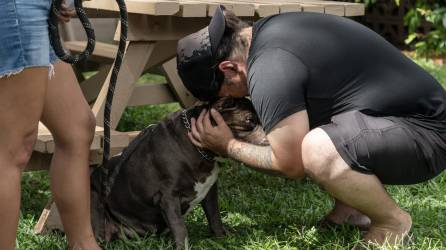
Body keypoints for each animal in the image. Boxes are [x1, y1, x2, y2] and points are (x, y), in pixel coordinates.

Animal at [89, 96, 266, 249]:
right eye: (250, 120)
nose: (268, 140)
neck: (198, 147)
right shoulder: (168, 196)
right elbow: (180, 227)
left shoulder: (210, 190)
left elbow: (214, 215)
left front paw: (222, 237)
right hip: (95, 201)